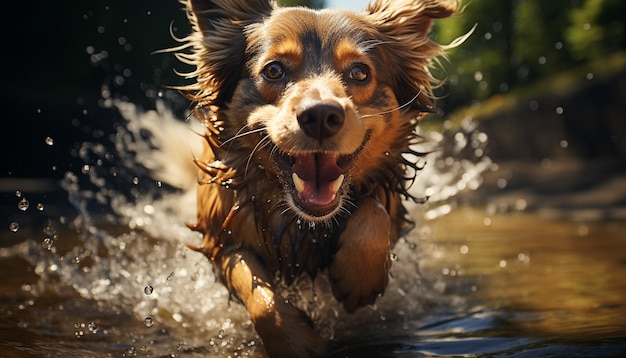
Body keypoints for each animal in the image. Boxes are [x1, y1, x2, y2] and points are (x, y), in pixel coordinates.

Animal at [173, 0, 456, 356]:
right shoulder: (220, 237)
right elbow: (258, 295)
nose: (321, 116)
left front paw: (360, 279)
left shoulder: (389, 196)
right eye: (274, 70)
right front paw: (295, 341)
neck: (305, 222)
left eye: (360, 72)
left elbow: (376, 212)